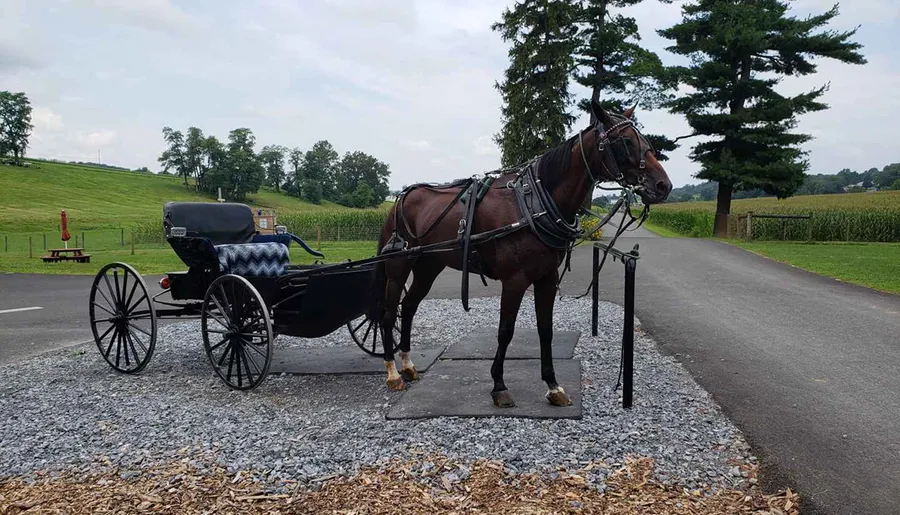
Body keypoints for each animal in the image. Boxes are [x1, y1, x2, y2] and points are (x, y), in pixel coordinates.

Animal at [370, 103, 668, 408]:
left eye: (645, 141)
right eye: (625, 142)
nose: (662, 185)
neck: (533, 205)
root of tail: (402, 198)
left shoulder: (547, 278)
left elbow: (545, 330)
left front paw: (553, 385)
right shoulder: (514, 281)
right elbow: (505, 331)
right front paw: (499, 386)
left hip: (429, 266)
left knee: (408, 307)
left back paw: (408, 366)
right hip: (398, 267)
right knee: (388, 314)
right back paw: (393, 373)